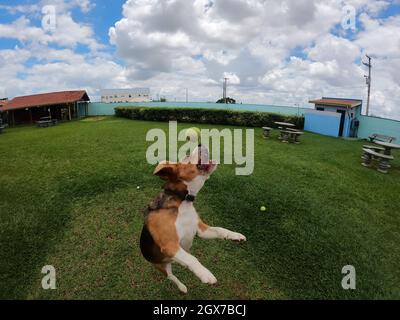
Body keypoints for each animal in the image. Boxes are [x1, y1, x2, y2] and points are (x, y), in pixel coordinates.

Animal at [141, 145, 247, 292]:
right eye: (186, 156)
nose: (200, 144)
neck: (183, 201)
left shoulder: (201, 230)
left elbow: (220, 230)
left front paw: (235, 235)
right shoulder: (170, 245)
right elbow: (193, 259)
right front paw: (205, 274)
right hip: (162, 266)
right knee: (172, 276)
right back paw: (182, 287)